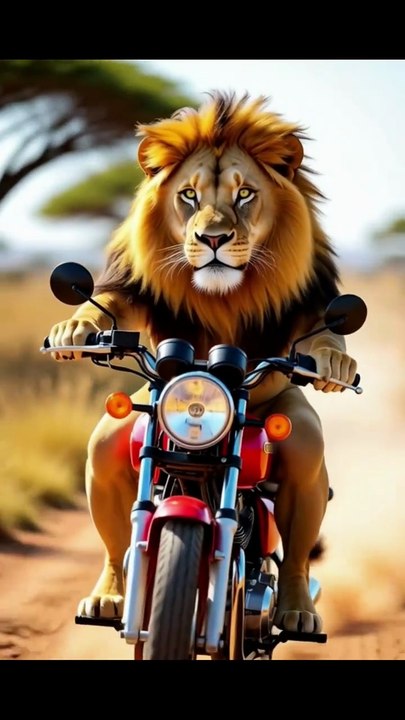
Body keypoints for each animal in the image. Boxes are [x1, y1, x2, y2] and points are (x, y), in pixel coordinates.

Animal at [48, 92, 358, 634]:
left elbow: (321, 326)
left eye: (245, 194)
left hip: (295, 443)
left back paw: (298, 610)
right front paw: (76, 328)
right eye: (189, 196)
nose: (213, 238)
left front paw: (333, 359)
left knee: (298, 520)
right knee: (107, 471)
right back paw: (106, 597)